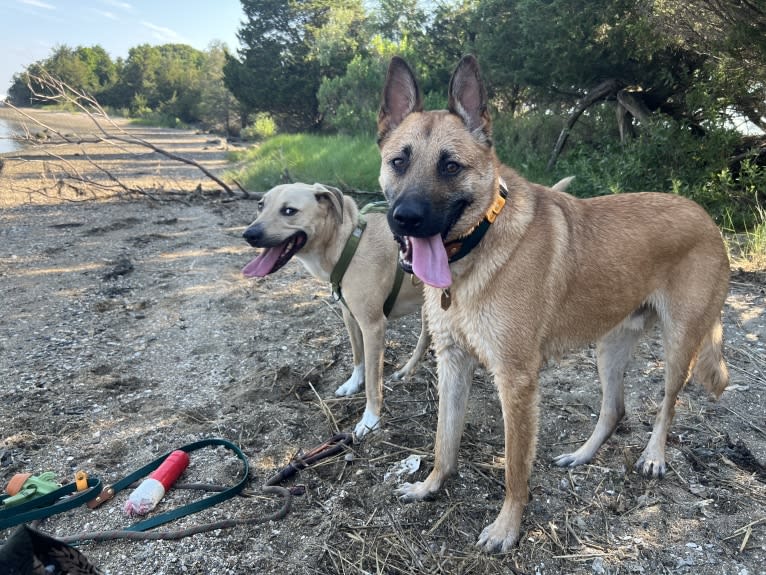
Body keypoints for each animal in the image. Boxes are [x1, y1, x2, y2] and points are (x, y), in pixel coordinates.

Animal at [243, 183, 428, 436]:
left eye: (289, 211)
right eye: (260, 205)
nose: (248, 234)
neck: (349, 243)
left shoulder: (373, 326)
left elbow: (373, 382)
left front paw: (370, 419)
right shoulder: (349, 316)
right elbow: (358, 357)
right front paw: (353, 384)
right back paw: (406, 371)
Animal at [378, 57, 732, 552]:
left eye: (450, 166)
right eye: (399, 162)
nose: (405, 219)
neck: (479, 243)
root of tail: (707, 217)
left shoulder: (516, 381)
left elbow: (515, 468)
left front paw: (506, 528)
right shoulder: (452, 362)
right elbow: (443, 441)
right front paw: (431, 486)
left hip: (680, 345)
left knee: (667, 405)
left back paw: (654, 456)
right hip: (610, 346)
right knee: (614, 409)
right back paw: (581, 455)